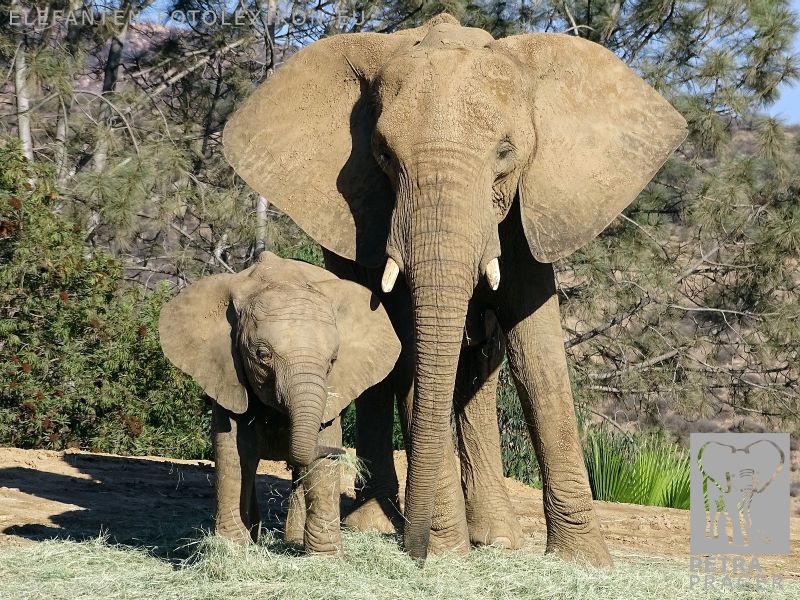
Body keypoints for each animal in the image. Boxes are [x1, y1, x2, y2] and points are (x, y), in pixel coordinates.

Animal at [158, 251, 400, 555]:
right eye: (262, 355)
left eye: (333, 361)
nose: (340, 452)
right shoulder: (226, 371)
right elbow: (234, 449)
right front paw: (232, 550)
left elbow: (322, 452)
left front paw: (326, 558)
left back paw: (292, 541)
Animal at [222, 13, 687, 565]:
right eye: (383, 153)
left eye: (506, 152)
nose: (416, 551)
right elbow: (407, 344)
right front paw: (448, 553)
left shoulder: (531, 204)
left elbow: (538, 354)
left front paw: (583, 562)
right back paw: (374, 526)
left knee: (479, 368)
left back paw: (496, 537)